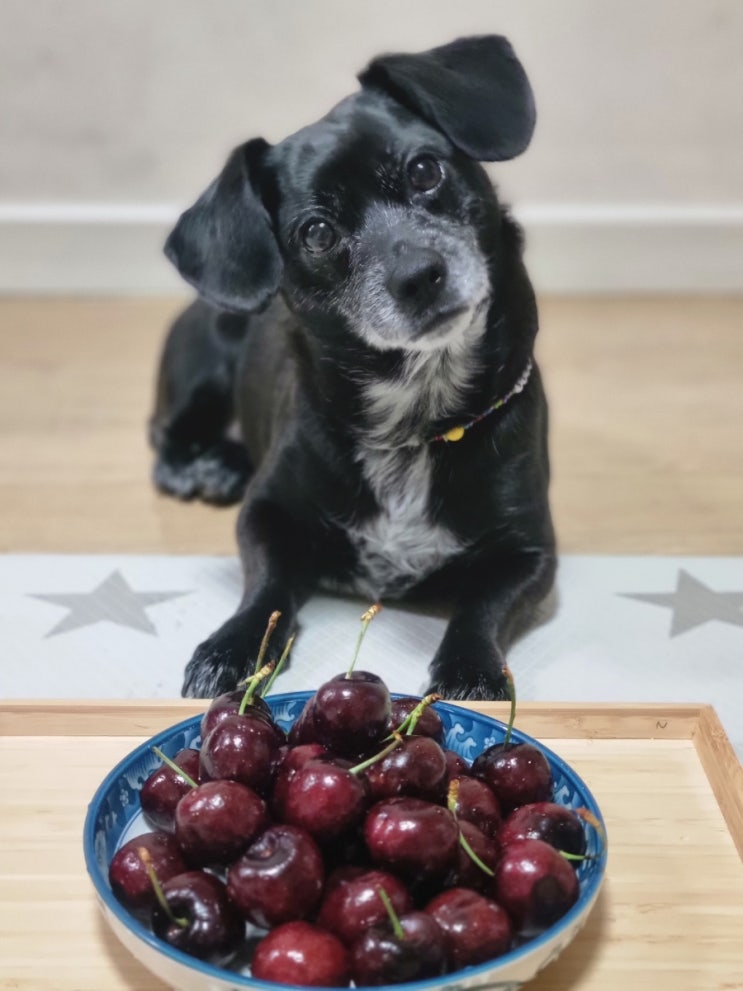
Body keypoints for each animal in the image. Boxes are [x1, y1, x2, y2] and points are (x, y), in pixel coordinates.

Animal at [151, 35, 556, 700]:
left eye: (425, 171)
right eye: (316, 233)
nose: (419, 275)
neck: (413, 415)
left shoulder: (530, 552)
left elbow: (482, 606)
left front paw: (470, 667)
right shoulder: (265, 515)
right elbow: (266, 588)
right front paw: (233, 645)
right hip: (201, 369)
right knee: (165, 433)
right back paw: (201, 466)